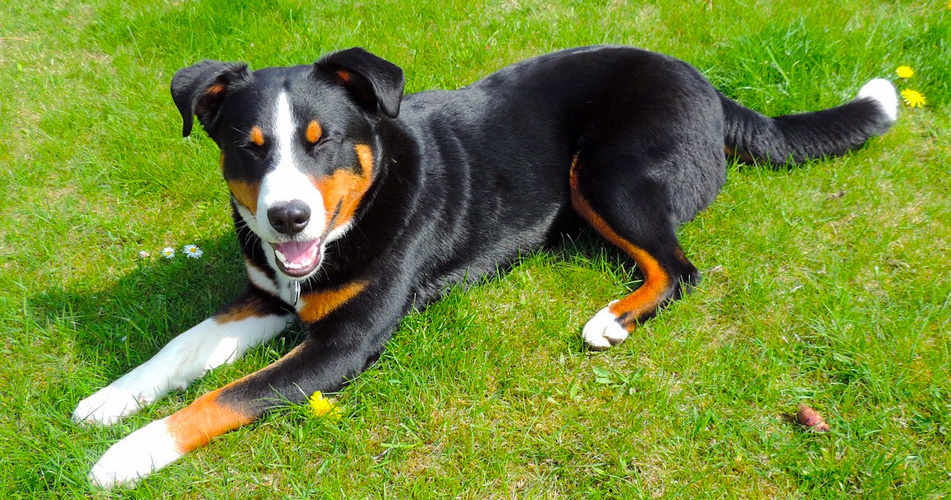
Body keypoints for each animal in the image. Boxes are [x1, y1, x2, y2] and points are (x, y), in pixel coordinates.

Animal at [74, 45, 900, 486]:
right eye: (249, 148)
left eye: (323, 140)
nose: (287, 218)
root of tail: (699, 80)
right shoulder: (268, 297)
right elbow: (180, 349)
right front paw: (111, 402)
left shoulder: (342, 344)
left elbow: (225, 398)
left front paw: (128, 455)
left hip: (608, 170)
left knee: (677, 268)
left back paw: (611, 319)